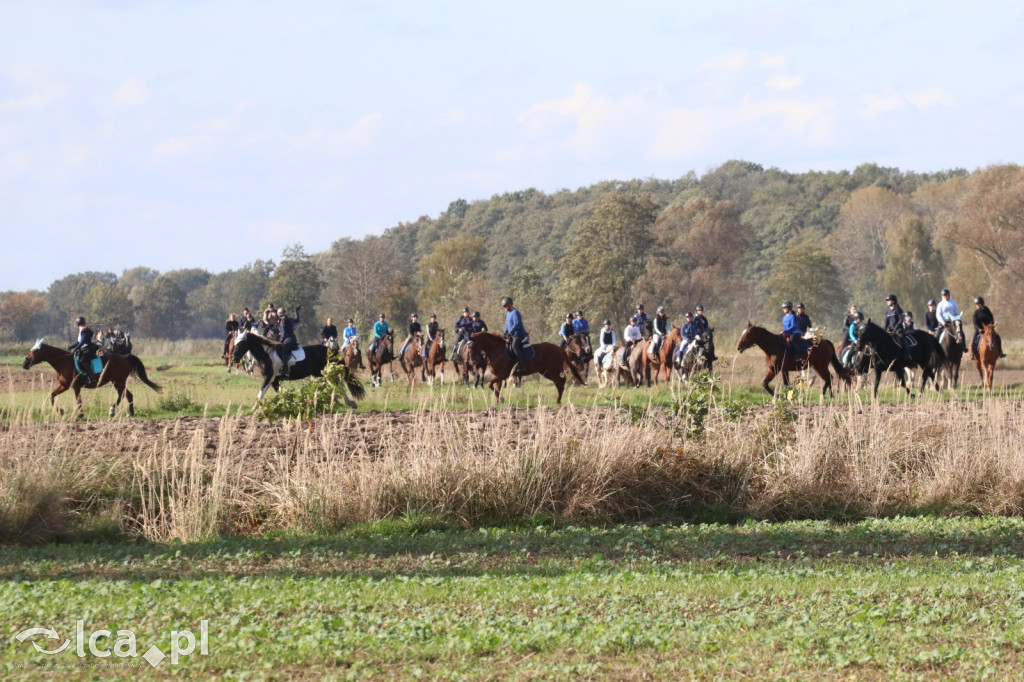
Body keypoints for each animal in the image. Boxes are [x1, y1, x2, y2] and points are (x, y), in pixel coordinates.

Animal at [23, 337, 161, 417]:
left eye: (34, 352)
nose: (24, 364)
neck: (63, 362)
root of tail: (125, 357)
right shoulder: (64, 386)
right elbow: (52, 396)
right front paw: (61, 411)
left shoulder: (75, 387)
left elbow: (78, 401)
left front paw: (80, 415)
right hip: (118, 381)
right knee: (127, 395)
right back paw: (130, 413)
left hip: (118, 381)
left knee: (123, 395)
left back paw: (113, 410)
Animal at [231, 325, 364, 403]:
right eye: (235, 343)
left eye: (241, 344)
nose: (234, 358)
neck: (267, 354)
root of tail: (331, 350)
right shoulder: (274, 380)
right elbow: (280, 393)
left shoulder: (269, 378)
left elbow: (260, 394)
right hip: (319, 374)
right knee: (334, 384)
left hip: (326, 372)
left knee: (337, 384)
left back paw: (349, 402)